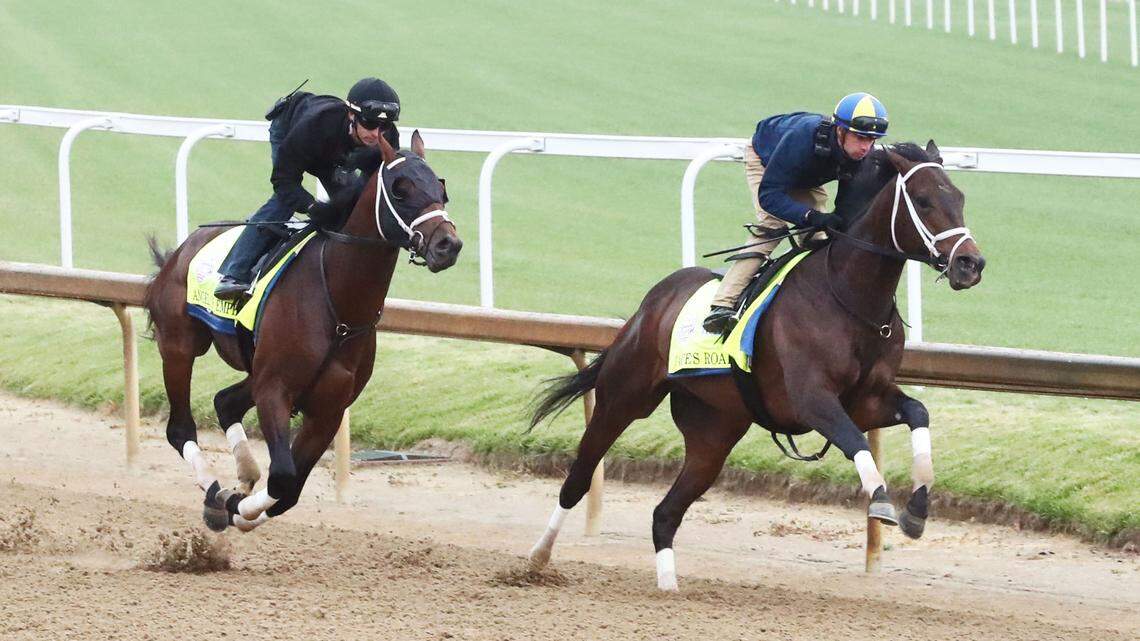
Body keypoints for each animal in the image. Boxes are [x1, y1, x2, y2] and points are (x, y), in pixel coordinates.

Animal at [144, 131, 461, 532]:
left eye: (441, 189)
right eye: (401, 190)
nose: (448, 245)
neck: (339, 308)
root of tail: (181, 250)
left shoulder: (328, 409)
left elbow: (289, 490)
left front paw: (242, 505)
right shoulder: (274, 389)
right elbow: (282, 476)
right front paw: (232, 504)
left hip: (255, 369)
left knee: (225, 401)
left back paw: (242, 477)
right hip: (180, 345)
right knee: (180, 429)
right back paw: (215, 490)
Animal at [527, 141, 985, 590]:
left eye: (960, 198)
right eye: (924, 201)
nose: (971, 264)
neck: (849, 297)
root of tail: (650, 304)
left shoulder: (866, 399)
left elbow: (917, 412)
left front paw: (918, 507)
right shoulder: (811, 401)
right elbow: (856, 441)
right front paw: (881, 500)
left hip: (714, 432)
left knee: (665, 513)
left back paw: (669, 586)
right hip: (622, 399)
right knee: (578, 480)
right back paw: (537, 558)